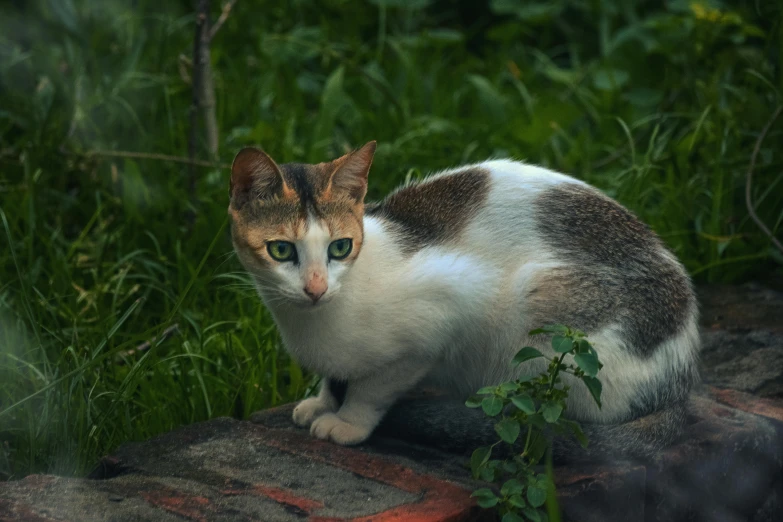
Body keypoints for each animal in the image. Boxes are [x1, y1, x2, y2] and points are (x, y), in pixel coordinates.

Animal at [230, 141, 700, 460]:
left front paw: (347, 421)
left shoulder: (449, 307)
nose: (315, 287)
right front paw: (323, 400)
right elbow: (336, 376)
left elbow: (375, 387)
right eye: (281, 250)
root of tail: (679, 382)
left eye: (341, 248)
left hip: (540, 308)